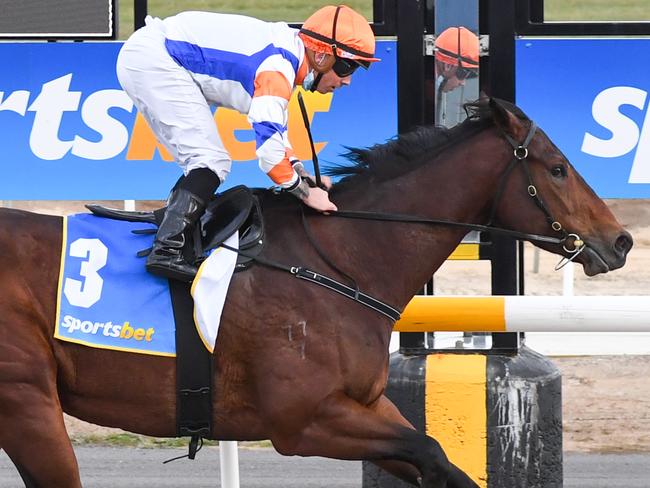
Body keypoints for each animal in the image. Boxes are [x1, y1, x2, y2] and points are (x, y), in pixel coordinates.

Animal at [0, 97, 632, 486]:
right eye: (557, 168)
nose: (621, 240)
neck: (342, 261)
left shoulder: (366, 405)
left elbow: (437, 459)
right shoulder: (303, 421)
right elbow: (430, 452)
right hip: (27, 401)